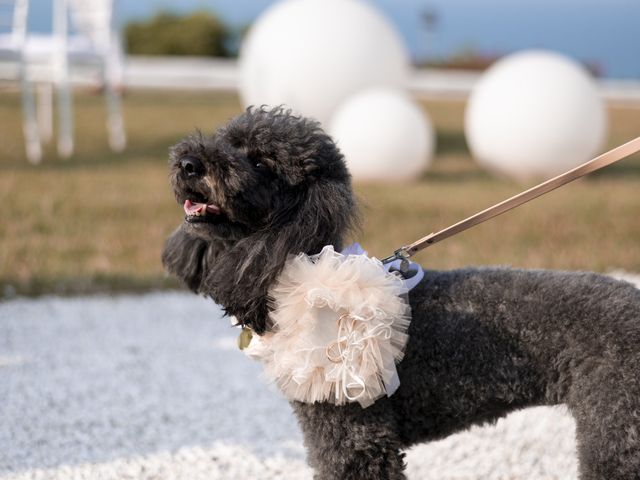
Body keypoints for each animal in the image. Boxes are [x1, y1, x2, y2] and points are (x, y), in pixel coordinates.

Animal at [164, 108, 640, 480]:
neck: (305, 272)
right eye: (227, 141)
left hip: (616, 428)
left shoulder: (354, 435)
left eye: (262, 162)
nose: (187, 163)